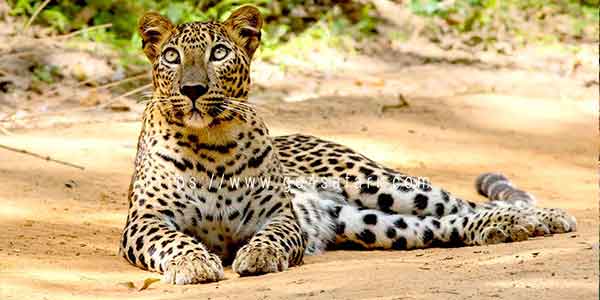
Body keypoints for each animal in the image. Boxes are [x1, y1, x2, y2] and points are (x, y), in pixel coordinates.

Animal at [120, 5, 576, 284]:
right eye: (172, 57)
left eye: (218, 53)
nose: (192, 89)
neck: (210, 143)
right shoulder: (144, 221)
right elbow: (175, 240)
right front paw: (195, 262)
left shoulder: (279, 216)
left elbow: (271, 237)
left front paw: (258, 257)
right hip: (369, 223)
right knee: (442, 226)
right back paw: (504, 228)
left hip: (377, 182)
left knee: (463, 205)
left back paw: (542, 218)